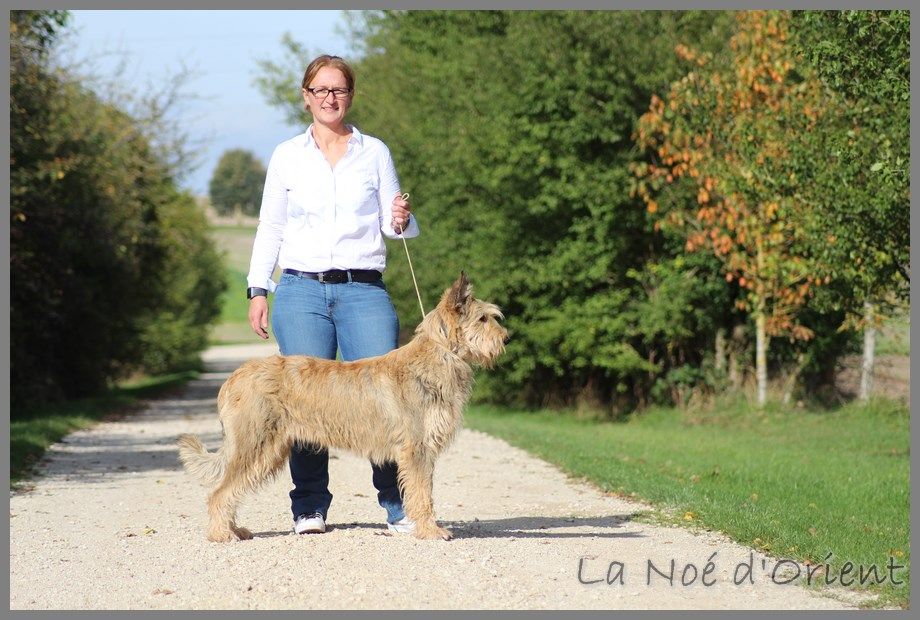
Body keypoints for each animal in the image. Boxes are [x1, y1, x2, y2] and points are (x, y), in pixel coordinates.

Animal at [176, 274, 506, 540]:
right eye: (483, 319)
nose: (507, 338)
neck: (437, 355)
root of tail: (234, 378)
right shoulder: (416, 449)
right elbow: (423, 494)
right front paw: (431, 531)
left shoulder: (420, 451)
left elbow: (421, 491)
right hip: (254, 445)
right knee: (220, 493)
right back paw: (222, 535)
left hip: (265, 450)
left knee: (230, 491)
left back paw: (235, 530)